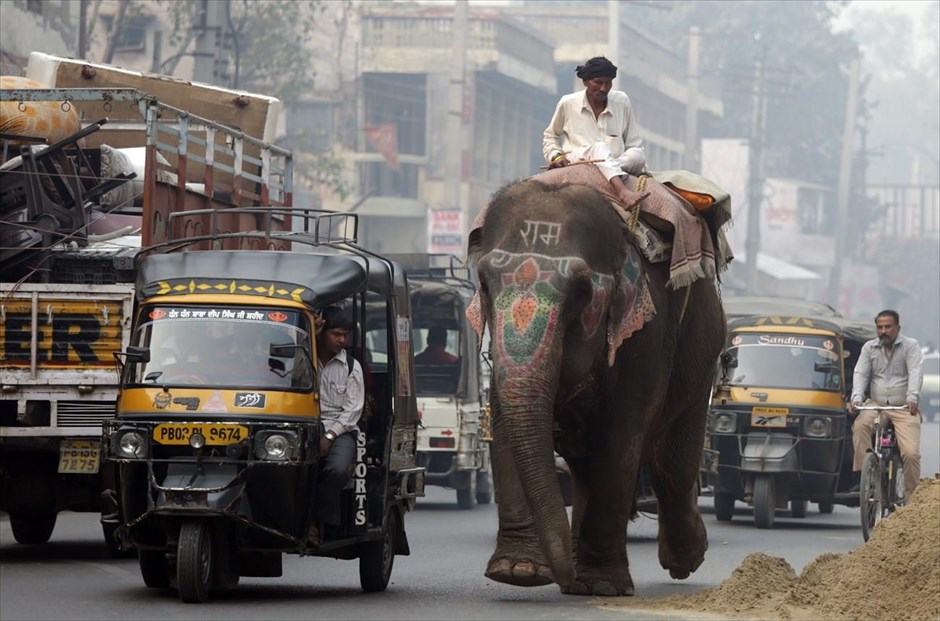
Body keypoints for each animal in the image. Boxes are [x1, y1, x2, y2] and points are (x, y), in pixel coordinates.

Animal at [468, 177, 728, 592]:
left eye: (582, 292)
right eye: (484, 284)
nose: (561, 579)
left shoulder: (646, 335)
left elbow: (622, 439)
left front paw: (603, 586)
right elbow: (507, 424)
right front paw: (518, 572)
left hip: (702, 352)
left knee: (672, 463)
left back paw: (685, 559)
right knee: (589, 467)